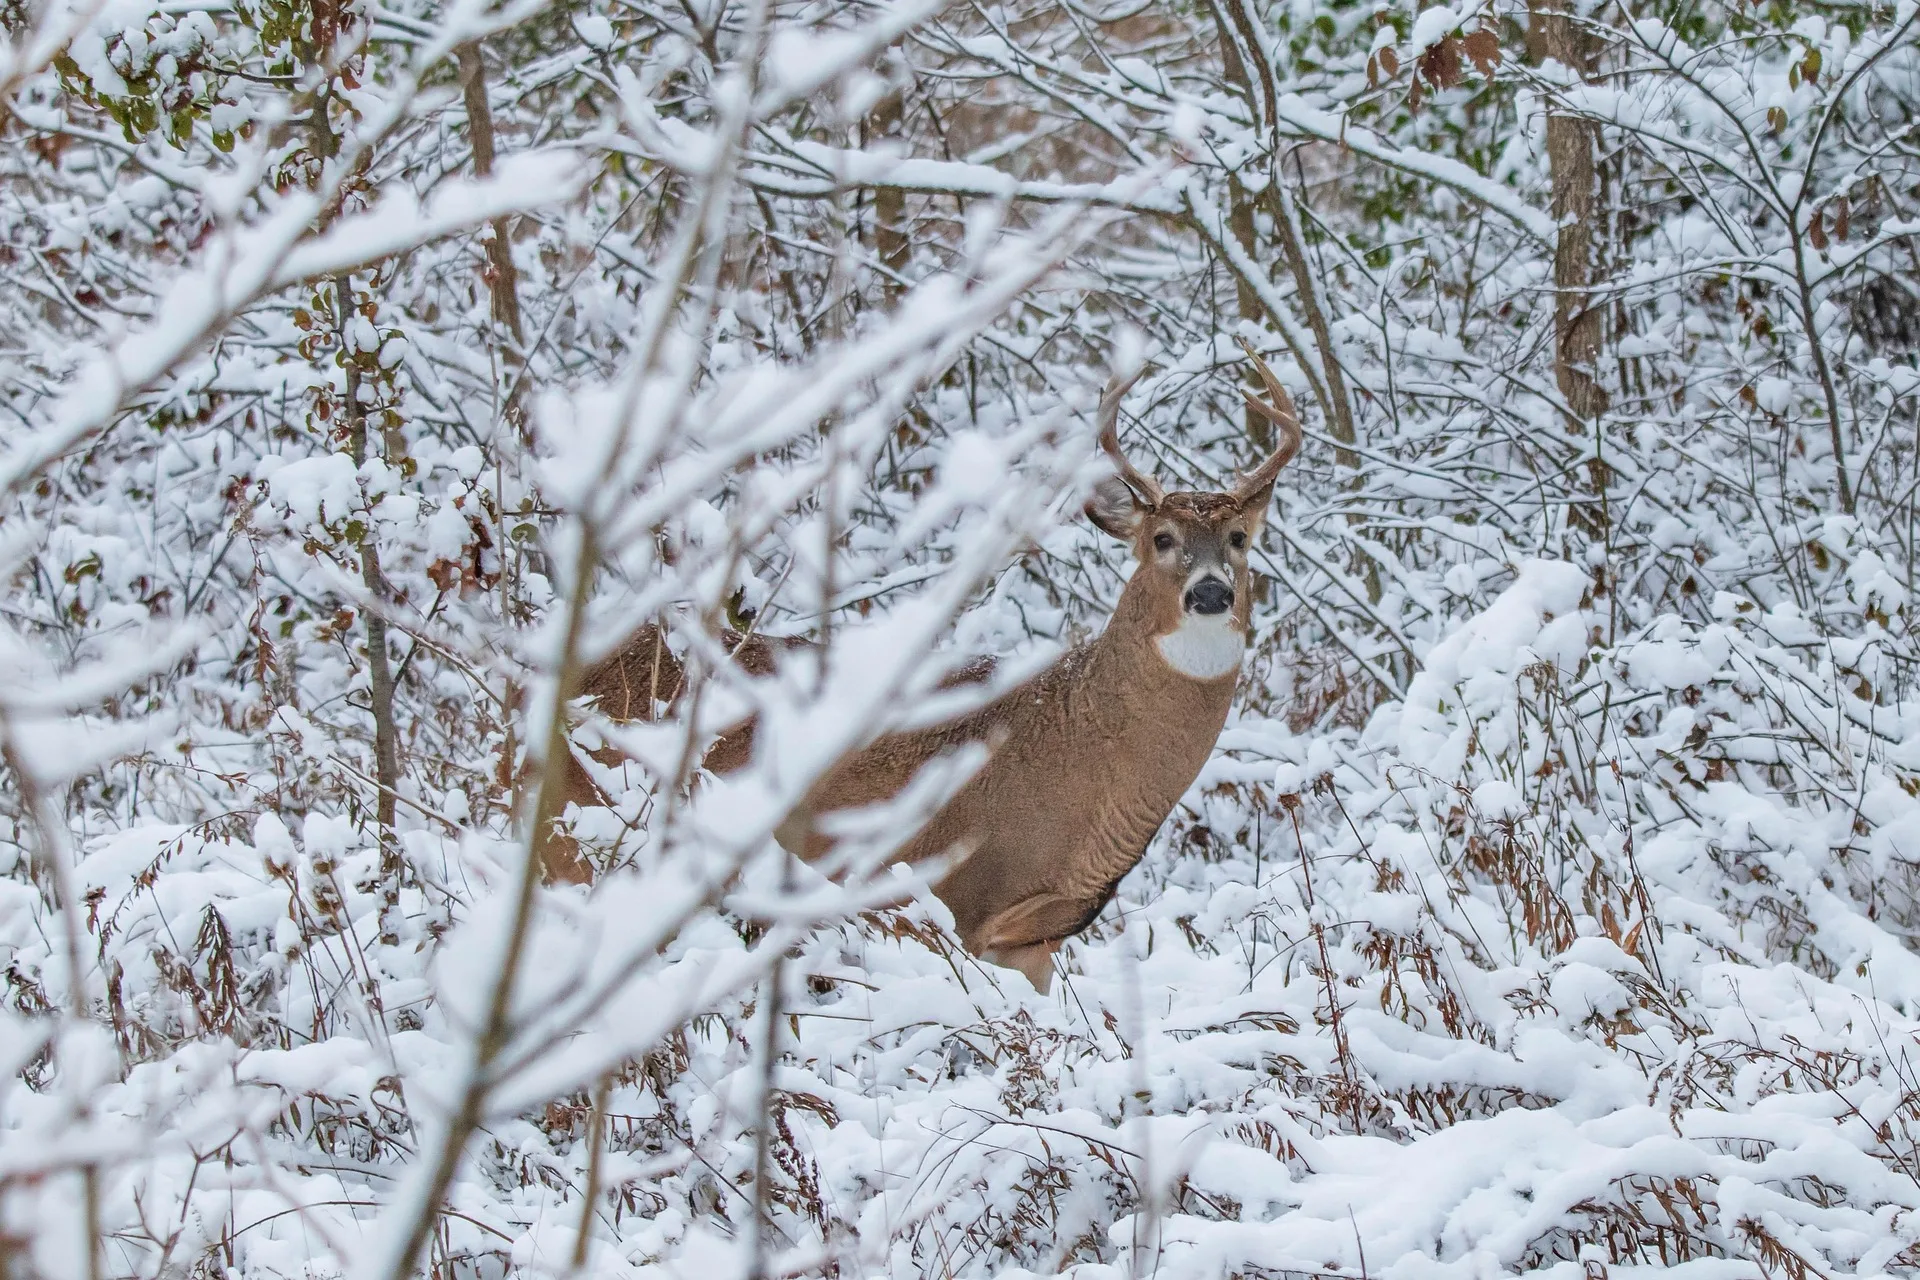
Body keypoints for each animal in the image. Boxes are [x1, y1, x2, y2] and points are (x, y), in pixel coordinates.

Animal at [547, 342, 1303, 992]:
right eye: (1162, 539)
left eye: (1240, 538)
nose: (1211, 592)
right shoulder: (952, 899)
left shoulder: (1035, 940)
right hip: (578, 828)